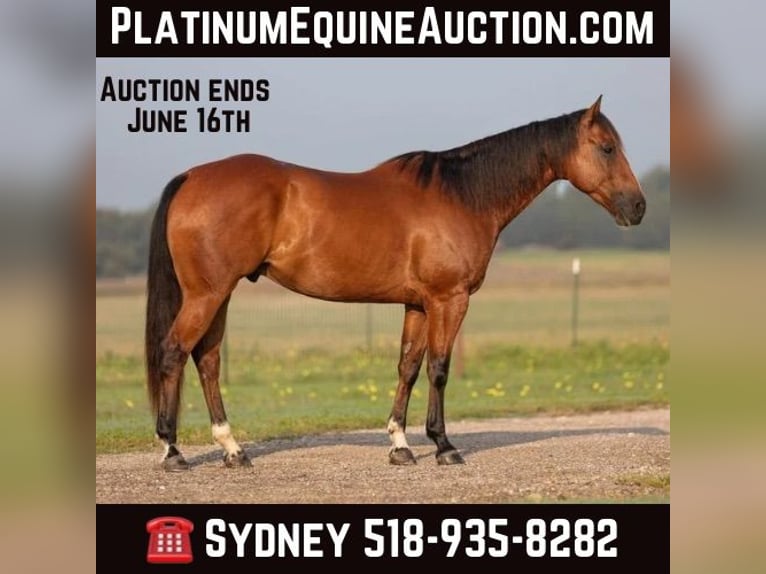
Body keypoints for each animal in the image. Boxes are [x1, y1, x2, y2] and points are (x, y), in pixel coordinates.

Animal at [145, 96, 645, 471]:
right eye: (606, 148)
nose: (638, 207)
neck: (462, 196)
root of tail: (192, 176)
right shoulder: (449, 300)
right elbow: (439, 369)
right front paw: (443, 446)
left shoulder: (418, 305)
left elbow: (407, 367)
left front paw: (400, 445)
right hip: (208, 294)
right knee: (174, 352)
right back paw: (173, 451)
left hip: (220, 294)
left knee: (207, 361)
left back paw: (233, 450)